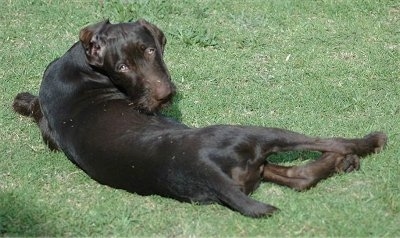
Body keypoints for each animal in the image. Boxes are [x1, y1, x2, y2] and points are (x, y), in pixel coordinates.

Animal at [13, 19, 388, 218]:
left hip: (250, 167)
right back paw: (368, 143)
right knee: (325, 144)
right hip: (254, 132)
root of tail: (204, 170)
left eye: (150, 50)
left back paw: (343, 163)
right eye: (122, 66)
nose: (165, 95)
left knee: (299, 176)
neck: (81, 65)